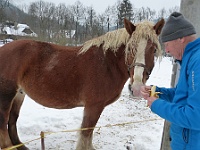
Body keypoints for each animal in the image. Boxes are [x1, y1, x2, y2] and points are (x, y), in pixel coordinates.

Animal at [0, 18, 163, 149]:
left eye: (154, 49)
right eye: (130, 48)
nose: (137, 88)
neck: (106, 63)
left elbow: (89, 134)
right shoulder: (93, 106)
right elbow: (86, 132)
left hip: (19, 94)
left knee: (12, 121)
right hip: (6, 95)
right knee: (4, 123)